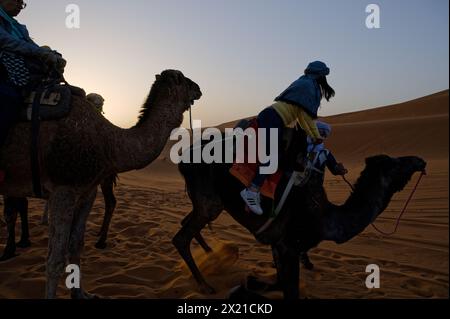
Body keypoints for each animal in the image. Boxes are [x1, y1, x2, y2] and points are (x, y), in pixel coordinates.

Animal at [0, 70, 202, 300]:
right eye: (184, 80)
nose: (198, 88)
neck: (108, 142)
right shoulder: (63, 191)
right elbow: (55, 259)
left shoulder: (86, 192)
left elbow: (75, 244)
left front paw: (81, 294)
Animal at [172, 128, 426, 300]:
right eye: (394, 164)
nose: (419, 160)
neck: (325, 217)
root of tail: (183, 159)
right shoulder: (289, 246)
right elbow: (289, 291)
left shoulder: (278, 245)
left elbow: (277, 282)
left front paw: (250, 282)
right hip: (210, 203)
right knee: (180, 237)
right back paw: (205, 284)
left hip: (205, 204)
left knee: (187, 223)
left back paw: (213, 255)